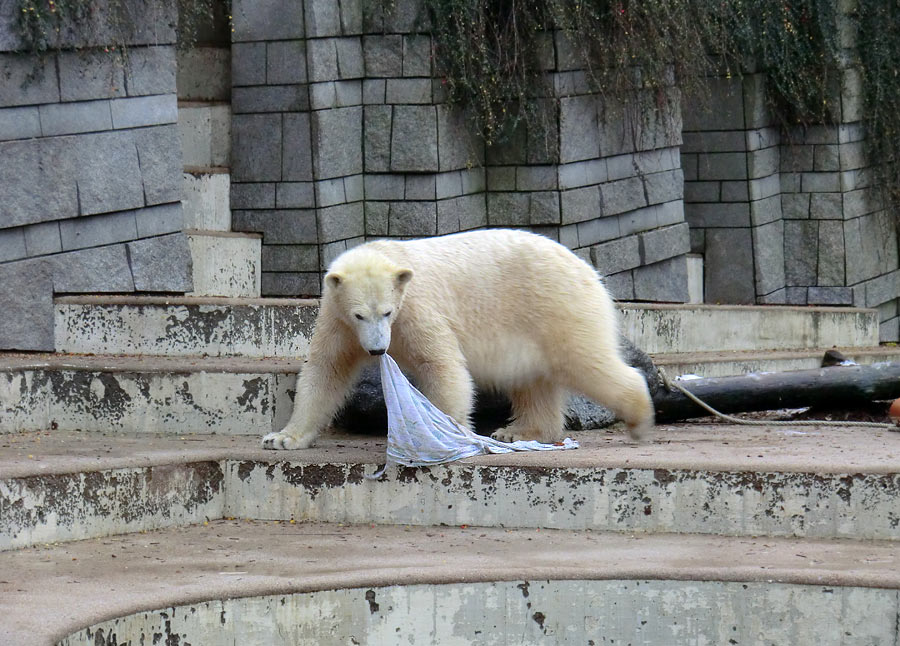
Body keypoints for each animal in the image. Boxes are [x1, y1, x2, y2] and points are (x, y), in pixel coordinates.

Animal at [260, 232, 652, 450]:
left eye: (387, 312)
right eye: (360, 315)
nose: (377, 349)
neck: (390, 255)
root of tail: (588, 269)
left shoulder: (417, 306)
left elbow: (441, 365)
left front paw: (447, 435)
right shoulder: (336, 318)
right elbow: (326, 369)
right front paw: (282, 438)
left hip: (556, 304)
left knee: (585, 360)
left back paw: (639, 417)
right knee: (534, 380)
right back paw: (518, 431)